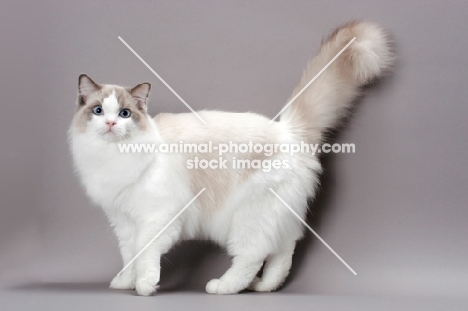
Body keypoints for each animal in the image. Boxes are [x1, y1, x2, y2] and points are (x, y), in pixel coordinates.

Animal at [68, 20, 392, 296]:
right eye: (98, 111)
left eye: (124, 113)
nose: (111, 123)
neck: (113, 158)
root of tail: (287, 129)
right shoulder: (123, 221)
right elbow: (129, 255)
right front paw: (125, 282)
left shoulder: (156, 217)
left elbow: (145, 254)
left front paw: (145, 286)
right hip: (276, 215)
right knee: (283, 252)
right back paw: (265, 287)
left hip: (249, 217)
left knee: (252, 257)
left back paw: (223, 286)